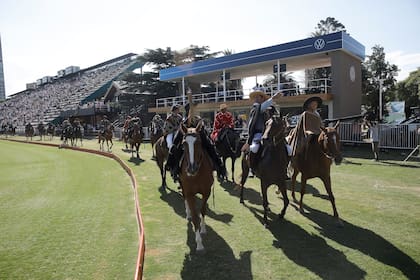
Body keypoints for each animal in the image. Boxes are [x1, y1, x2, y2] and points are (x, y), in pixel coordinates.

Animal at [179, 121, 215, 254]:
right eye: (184, 144)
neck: (197, 174)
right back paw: (188, 213)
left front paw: (203, 229)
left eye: (198, 142)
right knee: (184, 197)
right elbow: (195, 217)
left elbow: (203, 210)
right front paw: (199, 243)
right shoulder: (190, 193)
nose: (191, 169)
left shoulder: (206, 191)